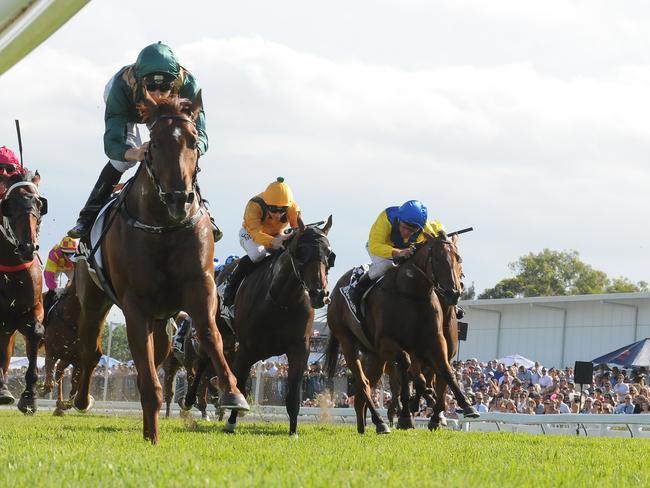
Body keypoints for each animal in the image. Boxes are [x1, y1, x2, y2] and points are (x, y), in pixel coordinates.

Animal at [72, 93, 247, 444]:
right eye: (154, 144)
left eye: (193, 140)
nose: (179, 198)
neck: (164, 226)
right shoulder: (134, 304)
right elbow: (146, 373)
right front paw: (152, 433)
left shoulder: (200, 286)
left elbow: (210, 335)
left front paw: (233, 392)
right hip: (94, 300)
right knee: (90, 349)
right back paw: (82, 400)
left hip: (163, 321)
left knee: (158, 352)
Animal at [211, 217, 334, 434]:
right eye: (300, 251)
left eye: (329, 253)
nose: (320, 294)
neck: (281, 301)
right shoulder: (247, 348)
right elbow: (240, 381)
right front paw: (231, 421)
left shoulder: (300, 347)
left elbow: (293, 392)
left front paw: (293, 431)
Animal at [324, 233, 476, 434]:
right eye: (436, 259)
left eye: (458, 259)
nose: (453, 292)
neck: (412, 293)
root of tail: (334, 292)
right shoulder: (388, 342)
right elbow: (407, 366)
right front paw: (406, 415)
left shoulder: (435, 342)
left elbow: (445, 371)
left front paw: (465, 406)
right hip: (348, 342)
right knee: (363, 383)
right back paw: (380, 422)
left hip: (376, 357)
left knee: (366, 386)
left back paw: (365, 424)